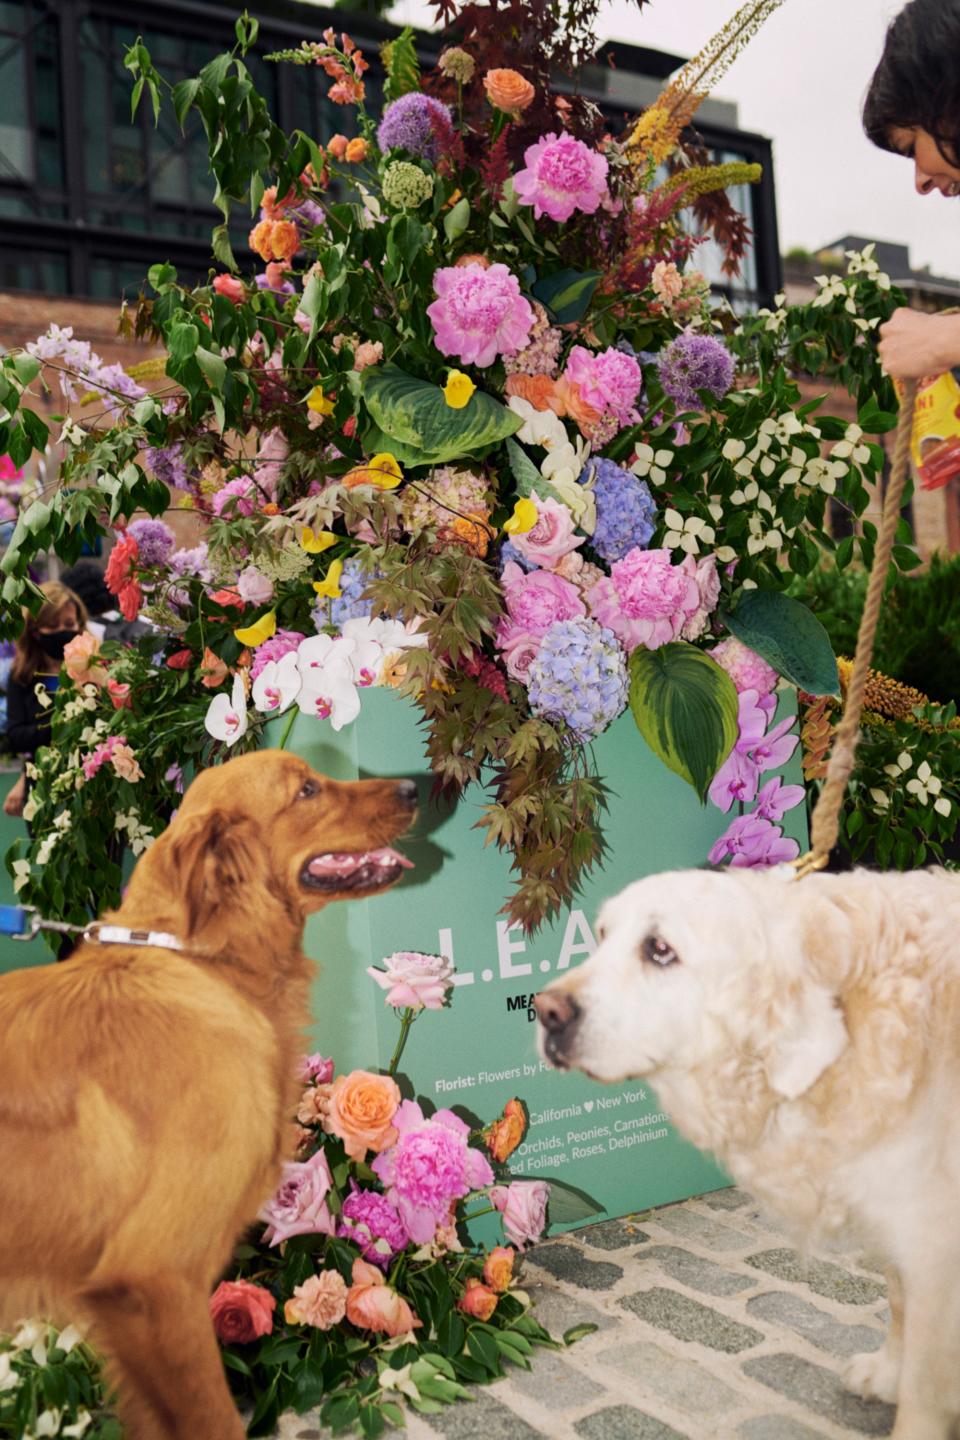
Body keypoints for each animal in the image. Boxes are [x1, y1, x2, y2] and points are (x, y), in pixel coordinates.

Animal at [532, 864, 960, 1440]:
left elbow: (925, 1385)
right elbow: (898, 1299)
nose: (544, 1011)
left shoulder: (933, 1241)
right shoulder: (894, 1212)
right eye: (601, 935)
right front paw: (888, 1372)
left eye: (660, 949)